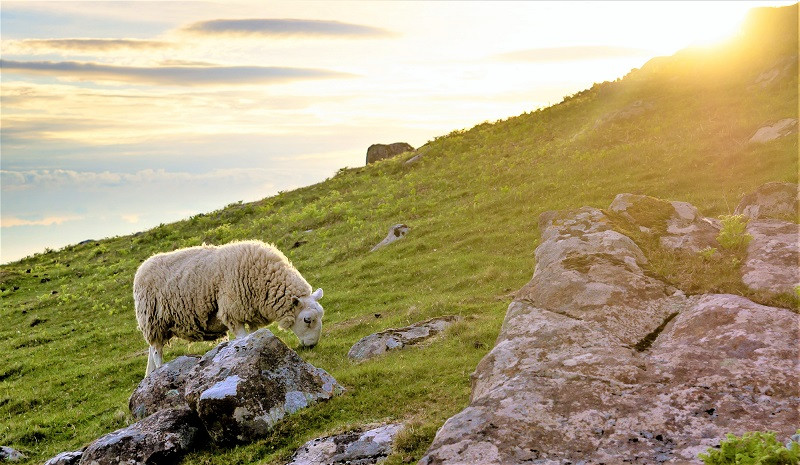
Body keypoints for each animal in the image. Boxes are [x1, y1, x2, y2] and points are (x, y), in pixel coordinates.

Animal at [133, 241, 324, 376]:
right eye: (307, 320)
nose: (312, 345)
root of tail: (143, 266)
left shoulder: (250, 312)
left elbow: (254, 335)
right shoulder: (232, 312)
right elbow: (242, 338)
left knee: (151, 349)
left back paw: (150, 375)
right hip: (153, 320)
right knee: (156, 351)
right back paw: (161, 371)